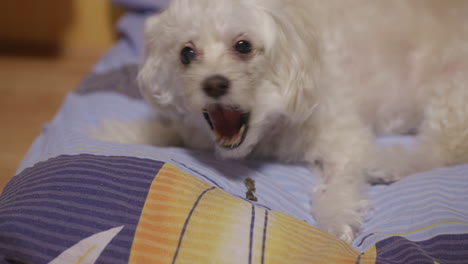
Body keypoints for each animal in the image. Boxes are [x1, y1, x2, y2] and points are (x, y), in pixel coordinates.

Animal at [95, 0, 468, 243]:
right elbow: (164, 130)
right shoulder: (193, 131)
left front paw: (337, 221)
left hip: (452, 90)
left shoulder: (343, 135)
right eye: (186, 53)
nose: (214, 84)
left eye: (243, 46)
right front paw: (117, 132)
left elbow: (337, 183)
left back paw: (388, 163)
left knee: (443, 148)